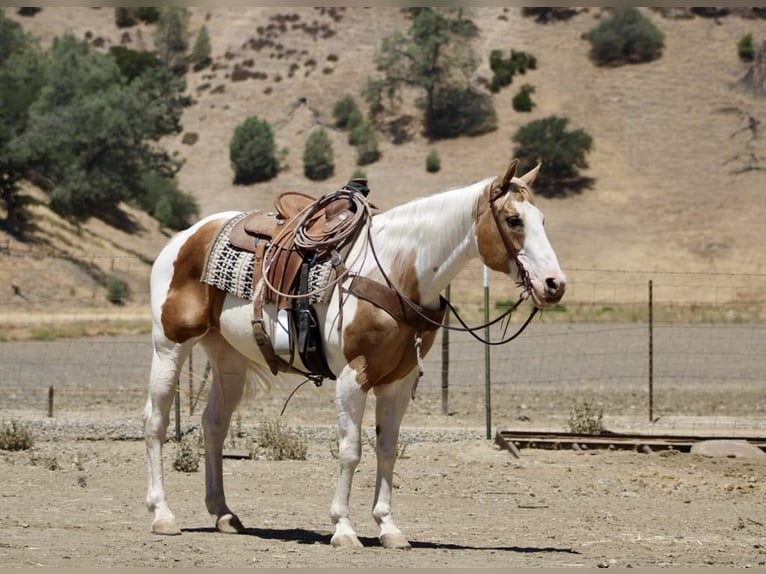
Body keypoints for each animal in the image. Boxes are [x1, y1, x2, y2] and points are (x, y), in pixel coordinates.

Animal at [143, 158, 567, 549]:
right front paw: (343, 529)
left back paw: (224, 513)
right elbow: (350, 451)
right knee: (156, 421)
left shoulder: (399, 382)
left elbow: (388, 449)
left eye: (544, 220)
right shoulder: (352, 377)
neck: (396, 273)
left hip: (227, 357)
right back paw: (162, 514)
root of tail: (184, 237)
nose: (554, 284)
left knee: (214, 424)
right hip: (170, 345)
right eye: (513, 219)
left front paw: (388, 527)